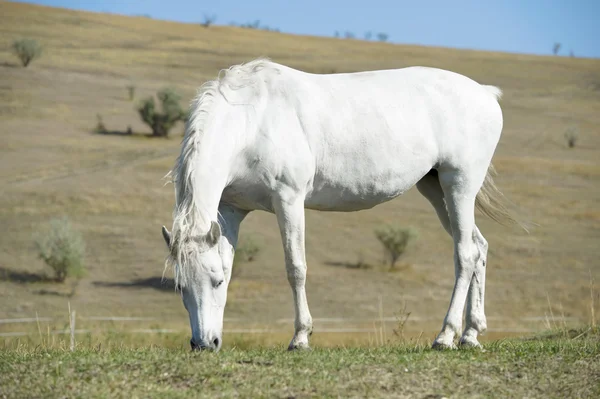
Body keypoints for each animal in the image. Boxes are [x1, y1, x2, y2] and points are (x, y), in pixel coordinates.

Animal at [162, 57, 524, 352]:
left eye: (215, 283)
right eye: (181, 287)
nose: (204, 343)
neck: (251, 119)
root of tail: (485, 94)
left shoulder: (288, 200)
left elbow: (296, 268)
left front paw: (300, 337)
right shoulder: (231, 210)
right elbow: (230, 260)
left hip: (458, 186)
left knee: (465, 254)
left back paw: (446, 335)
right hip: (435, 189)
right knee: (478, 247)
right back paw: (471, 334)